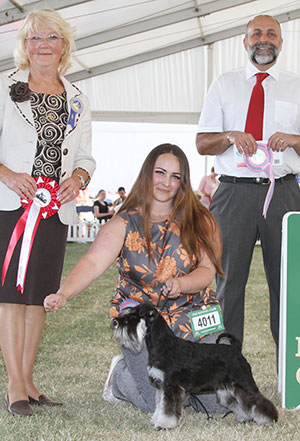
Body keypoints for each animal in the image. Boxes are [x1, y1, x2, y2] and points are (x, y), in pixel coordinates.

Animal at [111, 302, 278, 430]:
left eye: (133, 316)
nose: (115, 322)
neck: (162, 345)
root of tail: (235, 349)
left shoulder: (170, 387)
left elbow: (167, 409)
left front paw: (164, 424)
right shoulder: (161, 387)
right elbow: (160, 405)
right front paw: (156, 420)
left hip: (243, 382)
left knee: (257, 400)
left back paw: (269, 419)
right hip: (226, 390)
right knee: (238, 403)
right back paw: (244, 417)